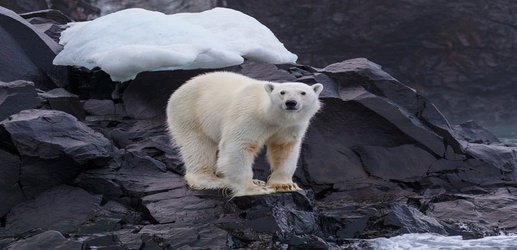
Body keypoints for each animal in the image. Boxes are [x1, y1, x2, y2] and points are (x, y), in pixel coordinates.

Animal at [165, 71, 320, 196]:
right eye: (282, 92)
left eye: (303, 92)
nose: (291, 103)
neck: (270, 116)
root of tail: (178, 90)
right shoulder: (249, 116)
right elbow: (238, 146)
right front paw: (255, 189)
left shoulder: (289, 127)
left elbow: (284, 148)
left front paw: (285, 185)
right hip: (190, 114)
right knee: (199, 146)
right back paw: (214, 180)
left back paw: (255, 181)